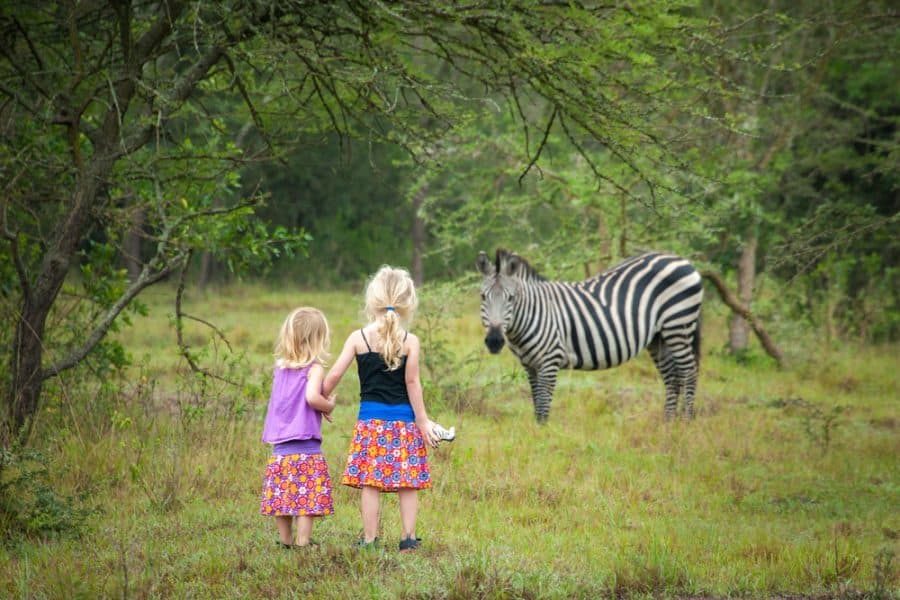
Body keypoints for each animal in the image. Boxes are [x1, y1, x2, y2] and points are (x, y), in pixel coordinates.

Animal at [477, 248, 703, 422]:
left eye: (511, 298)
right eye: (482, 297)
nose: (495, 341)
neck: (534, 312)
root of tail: (679, 258)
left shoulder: (550, 360)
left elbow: (543, 406)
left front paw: (543, 438)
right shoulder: (530, 365)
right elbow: (536, 405)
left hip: (678, 325)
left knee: (689, 372)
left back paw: (686, 423)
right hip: (659, 337)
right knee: (672, 378)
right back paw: (668, 424)